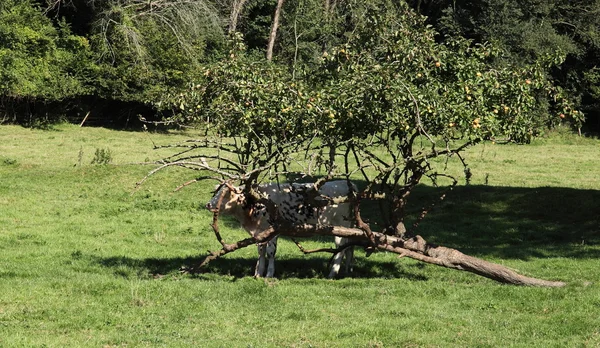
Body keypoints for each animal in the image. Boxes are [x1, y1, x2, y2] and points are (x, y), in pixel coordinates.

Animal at [206, 181, 356, 278]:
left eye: (224, 194)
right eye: (216, 192)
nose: (208, 204)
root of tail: (346, 183)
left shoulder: (273, 231)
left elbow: (270, 252)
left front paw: (269, 274)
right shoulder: (260, 233)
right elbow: (261, 252)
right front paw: (258, 273)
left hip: (339, 226)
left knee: (341, 249)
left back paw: (332, 273)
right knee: (349, 247)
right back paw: (347, 270)